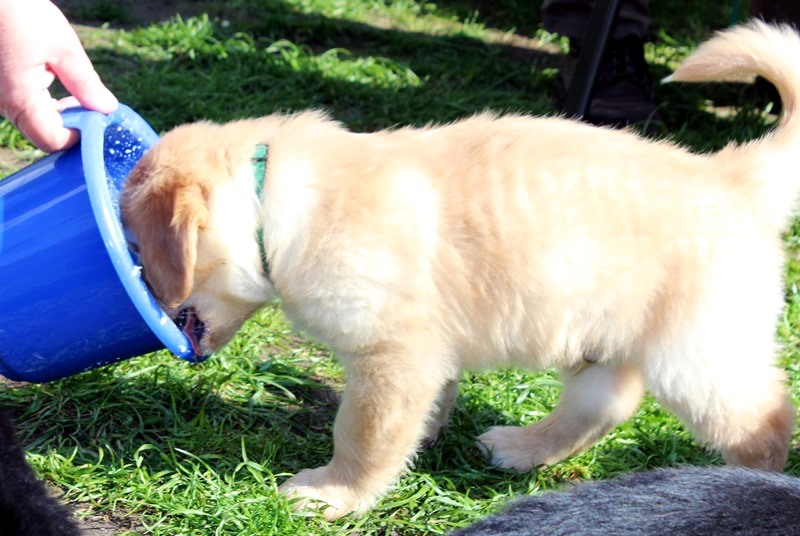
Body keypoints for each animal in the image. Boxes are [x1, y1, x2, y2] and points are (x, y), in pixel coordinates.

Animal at [121, 21, 799, 520]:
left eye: (137, 246)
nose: (139, 285)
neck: (270, 198)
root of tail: (732, 175)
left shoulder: (393, 354)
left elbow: (363, 434)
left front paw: (333, 494)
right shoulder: (424, 353)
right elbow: (424, 408)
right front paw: (423, 439)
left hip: (697, 357)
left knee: (766, 421)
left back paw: (734, 486)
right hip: (606, 337)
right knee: (603, 406)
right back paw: (522, 448)